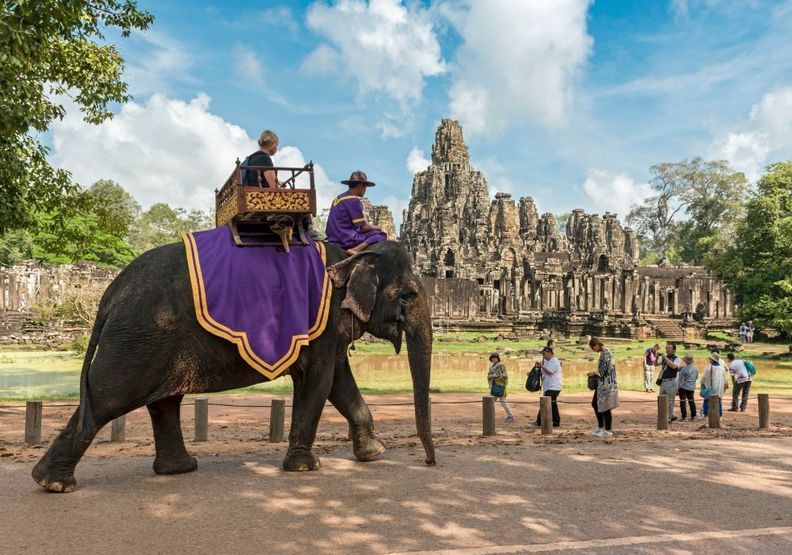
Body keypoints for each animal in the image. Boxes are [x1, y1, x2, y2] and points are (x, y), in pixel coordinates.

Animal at [34, 241, 436, 494]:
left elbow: (339, 382)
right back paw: (53, 483)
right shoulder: (319, 324)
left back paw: (178, 469)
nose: (430, 464)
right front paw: (307, 468)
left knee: (163, 402)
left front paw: (374, 453)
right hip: (139, 338)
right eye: (409, 295)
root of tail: (111, 291)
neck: (352, 255)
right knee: (108, 398)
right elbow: (320, 381)